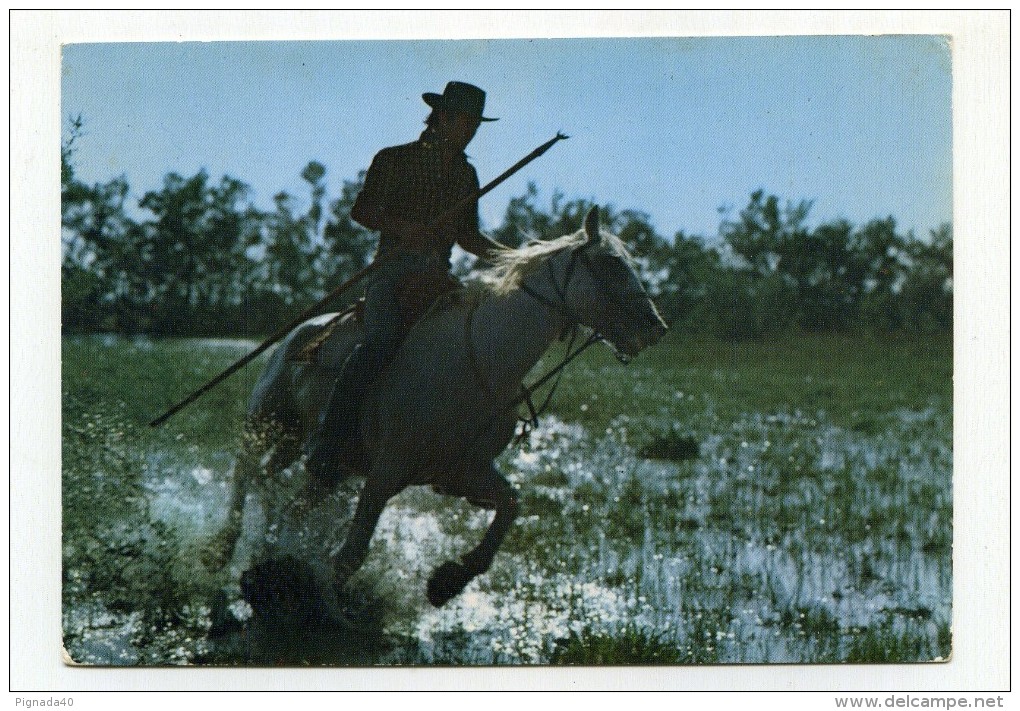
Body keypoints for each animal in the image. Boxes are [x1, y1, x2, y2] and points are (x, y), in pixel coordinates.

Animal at [207, 208, 669, 607]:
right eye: (611, 262)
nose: (656, 328)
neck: (477, 363)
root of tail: (302, 332)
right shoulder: (386, 470)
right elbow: (349, 556)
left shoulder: (464, 471)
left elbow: (511, 504)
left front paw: (448, 581)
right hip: (266, 420)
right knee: (244, 474)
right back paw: (221, 549)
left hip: (313, 454)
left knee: (273, 488)